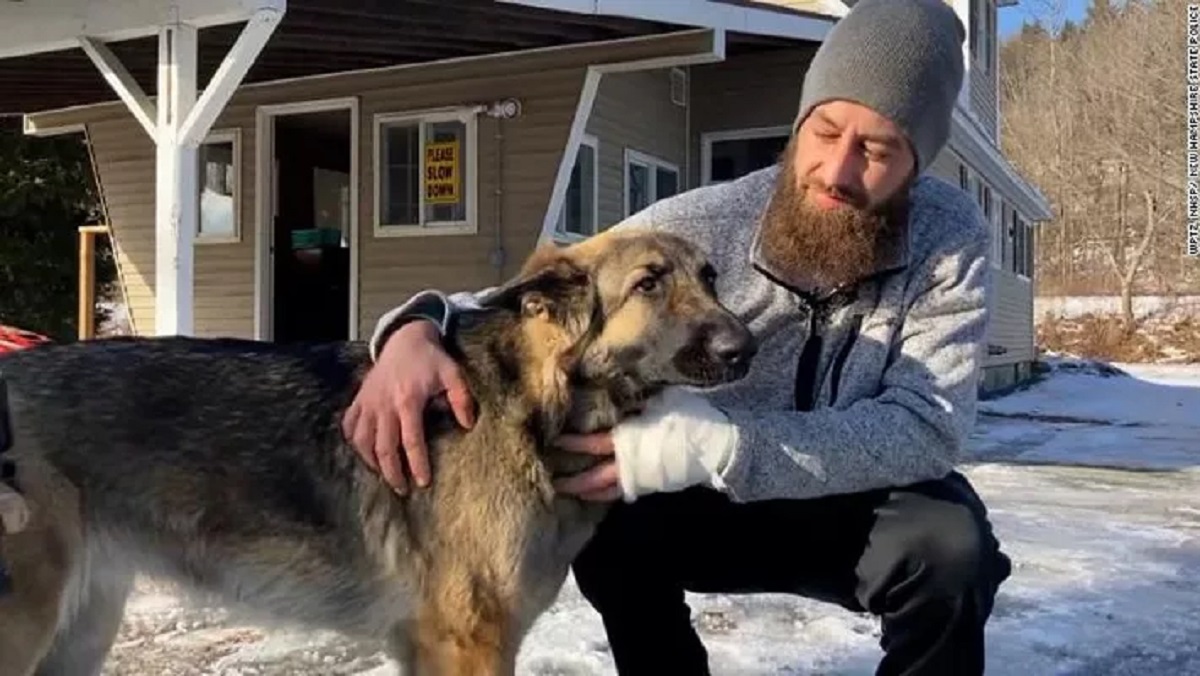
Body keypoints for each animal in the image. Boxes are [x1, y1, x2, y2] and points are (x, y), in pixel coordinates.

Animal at [0, 229, 753, 676]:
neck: (531, 408)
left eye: (711, 278)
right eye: (649, 284)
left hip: (81, 631)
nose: (744, 348)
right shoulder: (469, 644)